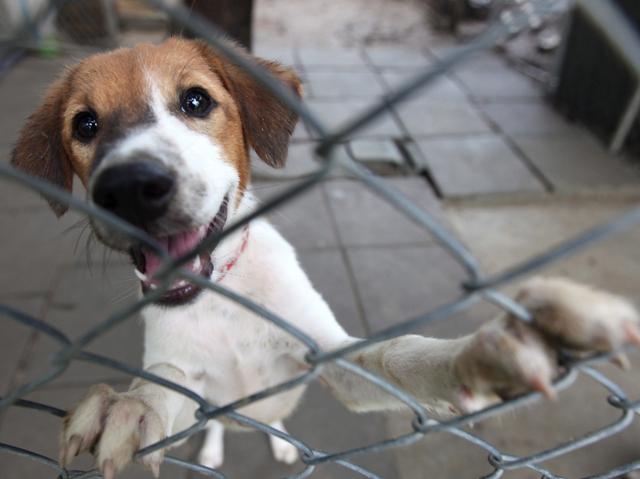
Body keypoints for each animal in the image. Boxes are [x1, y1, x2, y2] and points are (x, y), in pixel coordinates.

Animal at [8, 38, 640, 479]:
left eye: (196, 100)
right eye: (85, 124)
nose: (131, 188)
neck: (223, 298)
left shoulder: (324, 355)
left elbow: (398, 356)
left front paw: (483, 355)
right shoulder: (184, 379)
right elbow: (162, 389)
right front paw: (127, 408)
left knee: (274, 417)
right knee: (223, 424)